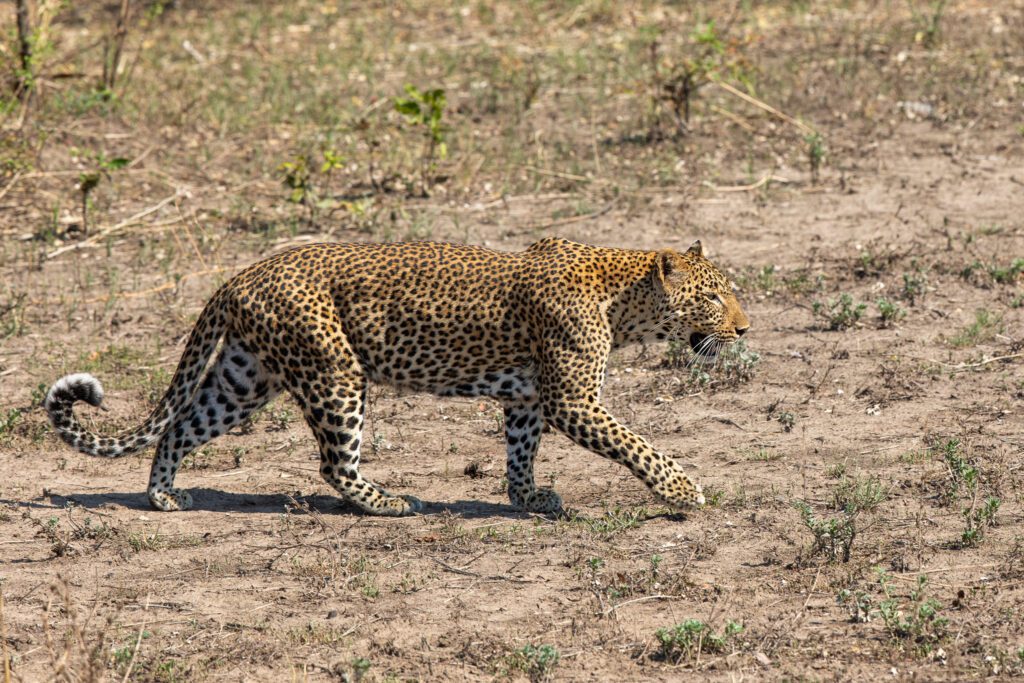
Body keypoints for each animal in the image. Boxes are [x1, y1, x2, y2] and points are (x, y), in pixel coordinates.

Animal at [46, 237, 753, 516]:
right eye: (714, 298)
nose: (746, 330)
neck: (623, 297)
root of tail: (241, 274)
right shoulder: (572, 401)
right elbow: (640, 446)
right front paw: (683, 491)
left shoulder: (528, 400)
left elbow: (520, 452)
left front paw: (528, 498)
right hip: (334, 371)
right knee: (334, 463)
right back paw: (389, 503)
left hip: (246, 379)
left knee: (180, 427)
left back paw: (163, 496)